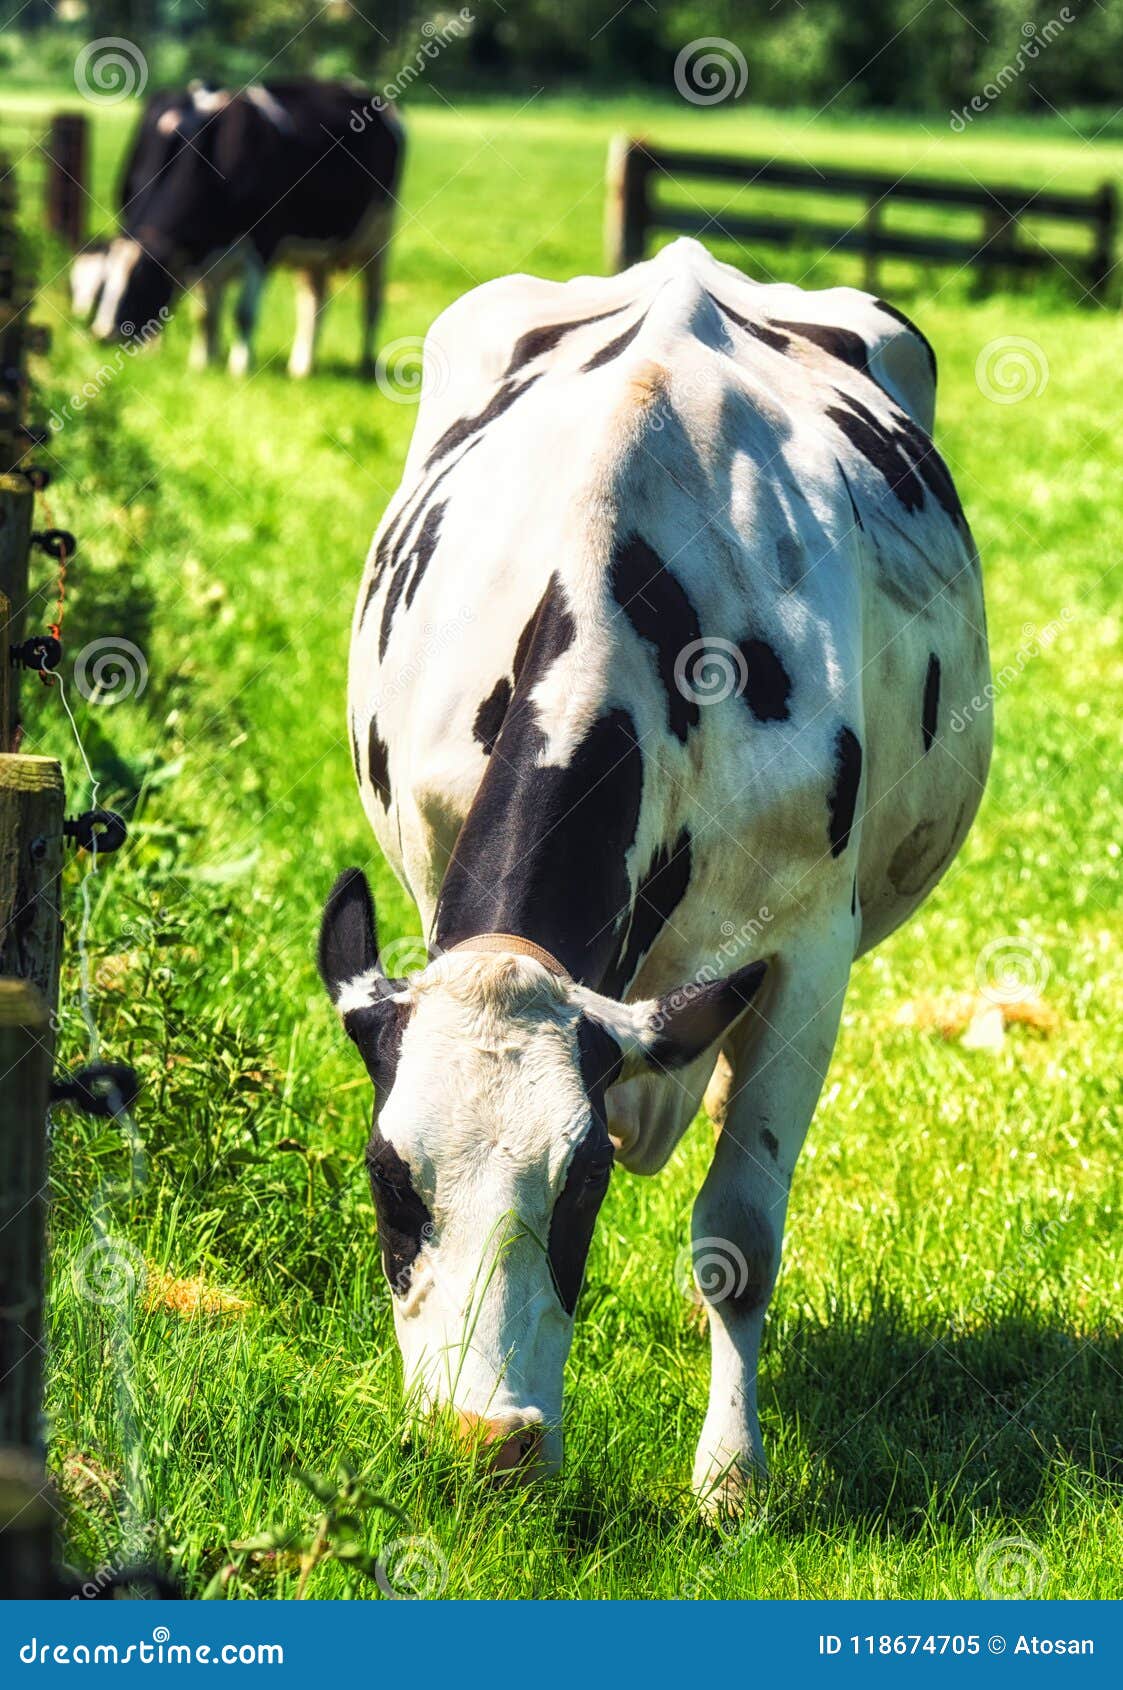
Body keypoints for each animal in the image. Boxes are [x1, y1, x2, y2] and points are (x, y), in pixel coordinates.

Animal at [81, 79, 404, 380]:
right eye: (103, 281)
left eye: (140, 280)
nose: (102, 332)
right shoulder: (204, 253)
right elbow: (204, 314)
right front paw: (202, 363)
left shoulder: (262, 244)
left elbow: (243, 314)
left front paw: (239, 368)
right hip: (315, 252)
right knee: (313, 303)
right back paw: (301, 367)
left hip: (380, 237)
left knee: (372, 304)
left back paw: (366, 365)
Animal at [317, 234, 994, 1507]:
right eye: (388, 1179)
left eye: (577, 1184)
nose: (485, 1445)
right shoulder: (432, 882)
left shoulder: (808, 950)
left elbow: (739, 1233)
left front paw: (730, 1477)